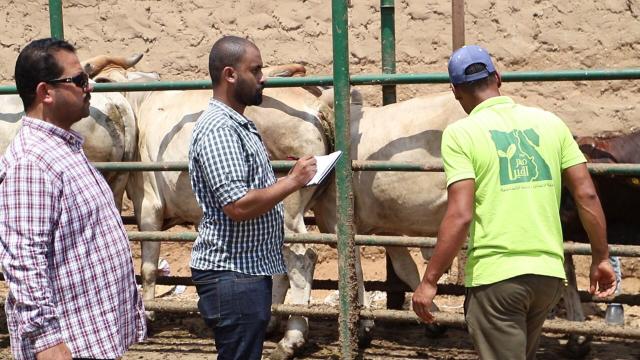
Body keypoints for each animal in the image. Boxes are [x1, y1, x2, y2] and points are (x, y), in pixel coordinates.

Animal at [84, 54, 336, 360]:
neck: (138, 103)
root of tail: (315, 105)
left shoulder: (148, 204)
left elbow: (148, 266)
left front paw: (149, 316)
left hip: (287, 211)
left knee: (302, 259)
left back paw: (292, 338)